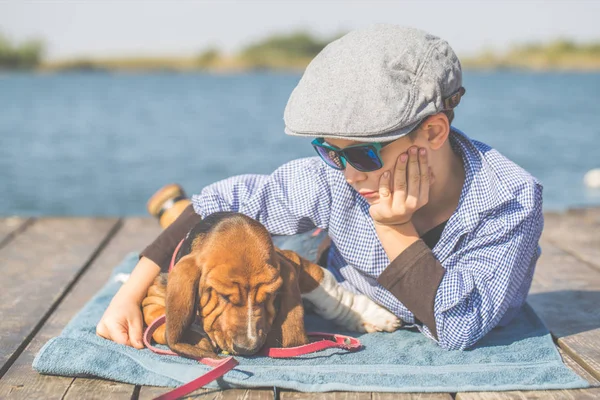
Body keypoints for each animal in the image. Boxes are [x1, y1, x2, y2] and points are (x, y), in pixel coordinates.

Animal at [142, 212, 400, 360]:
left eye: (269, 296)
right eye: (223, 296)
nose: (248, 348)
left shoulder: (293, 263)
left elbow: (329, 291)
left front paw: (371, 315)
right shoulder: (154, 295)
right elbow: (158, 324)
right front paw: (197, 339)